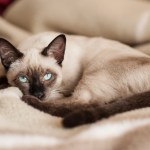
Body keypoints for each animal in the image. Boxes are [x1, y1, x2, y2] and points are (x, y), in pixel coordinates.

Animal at [0, 31, 150, 127]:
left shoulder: (61, 90)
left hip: (94, 72)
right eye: (23, 78)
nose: (38, 94)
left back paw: (29, 101)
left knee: (86, 104)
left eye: (47, 76)